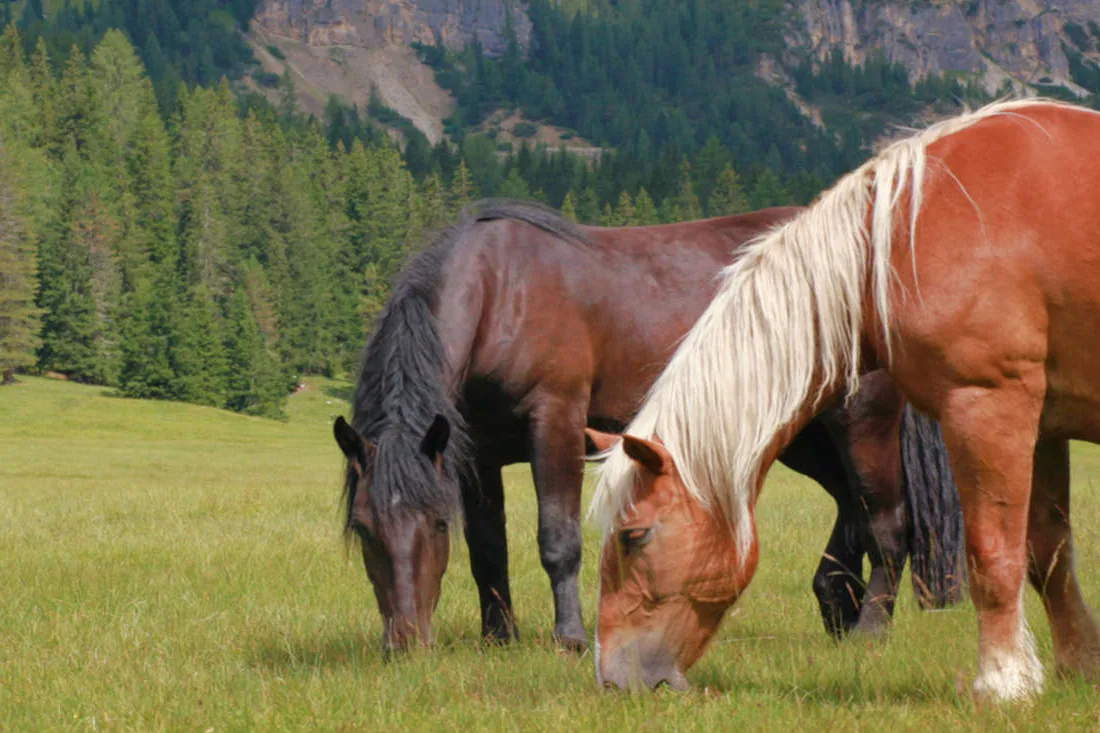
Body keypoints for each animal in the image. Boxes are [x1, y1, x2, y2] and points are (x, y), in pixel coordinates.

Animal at [332, 200, 962, 653]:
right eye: (363, 527)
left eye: (437, 525)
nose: (405, 642)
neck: (499, 292)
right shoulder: (474, 452)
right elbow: (489, 548)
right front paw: (498, 638)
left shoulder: (556, 421)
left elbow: (557, 538)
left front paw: (570, 638)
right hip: (808, 437)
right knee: (852, 508)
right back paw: (837, 606)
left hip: (862, 417)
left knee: (886, 522)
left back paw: (869, 630)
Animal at [588, 99, 1100, 702]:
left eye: (633, 536)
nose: (613, 679)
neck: (908, 232)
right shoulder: (1042, 421)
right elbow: (1048, 551)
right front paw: (1078, 665)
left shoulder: (989, 403)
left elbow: (993, 552)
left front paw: (1002, 682)